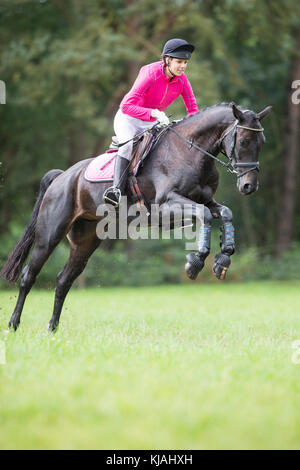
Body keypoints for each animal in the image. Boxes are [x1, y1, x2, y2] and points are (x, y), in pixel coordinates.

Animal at [0, 102, 272, 330]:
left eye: (262, 142)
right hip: (49, 235)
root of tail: (62, 177)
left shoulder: (204, 201)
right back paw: (14, 324)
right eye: (244, 141)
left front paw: (222, 260)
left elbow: (225, 212)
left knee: (63, 281)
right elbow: (204, 215)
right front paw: (195, 263)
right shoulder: (165, 207)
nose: (249, 186)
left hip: (85, 242)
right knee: (28, 275)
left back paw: (52, 328)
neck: (189, 151)